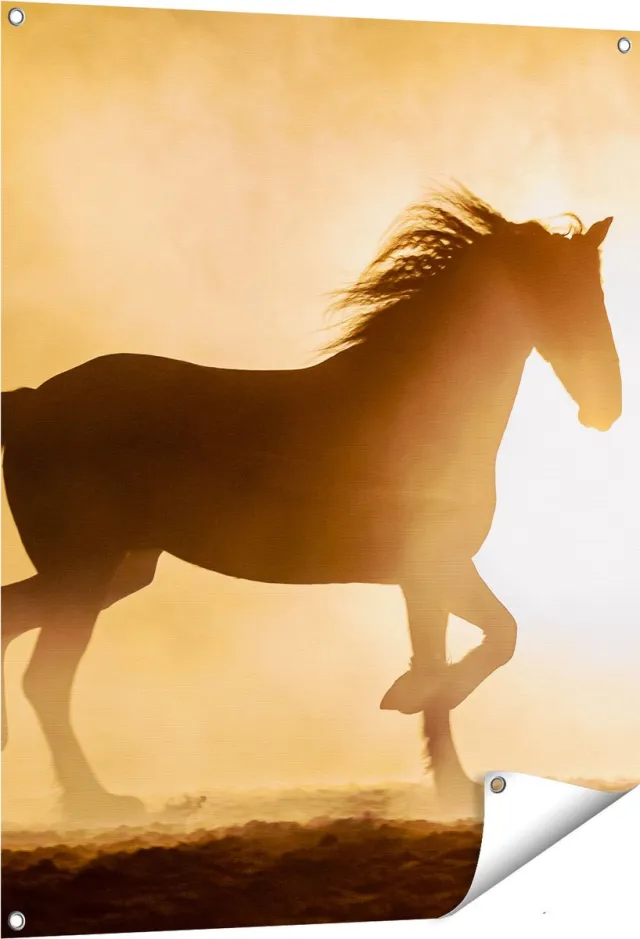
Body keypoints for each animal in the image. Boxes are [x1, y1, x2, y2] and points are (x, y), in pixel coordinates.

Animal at [1, 187, 621, 824]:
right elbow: (488, 644)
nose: (606, 406)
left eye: (595, 295)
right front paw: (417, 721)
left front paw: (445, 774)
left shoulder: (428, 577)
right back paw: (96, 802)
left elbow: (466, 650)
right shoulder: (435, 567)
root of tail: (27, 401)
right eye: (556, 293)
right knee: (45, 678)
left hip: (117, 572)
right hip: (84, 575)